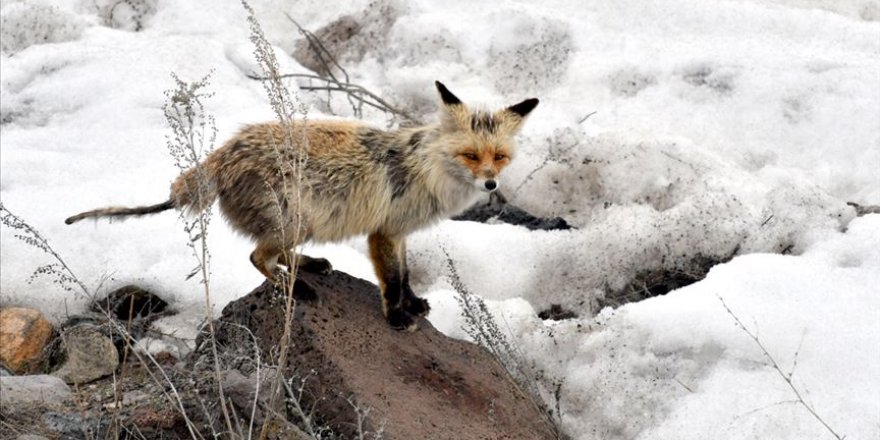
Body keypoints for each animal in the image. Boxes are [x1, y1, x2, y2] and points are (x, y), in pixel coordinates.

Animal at [65, 81, 536, 330]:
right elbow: (391, 281)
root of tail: (224, 154)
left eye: (499, 157)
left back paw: (308, 267)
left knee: (275, 253)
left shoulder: (398, 232)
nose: (491, 183)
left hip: (300, 222)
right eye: (471, 156)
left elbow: (404, 276)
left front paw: (414, 303)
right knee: (258, 257)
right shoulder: (383, 233)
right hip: (297, 219)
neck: (424, 169)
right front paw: (396, 316)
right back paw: (294, 287)